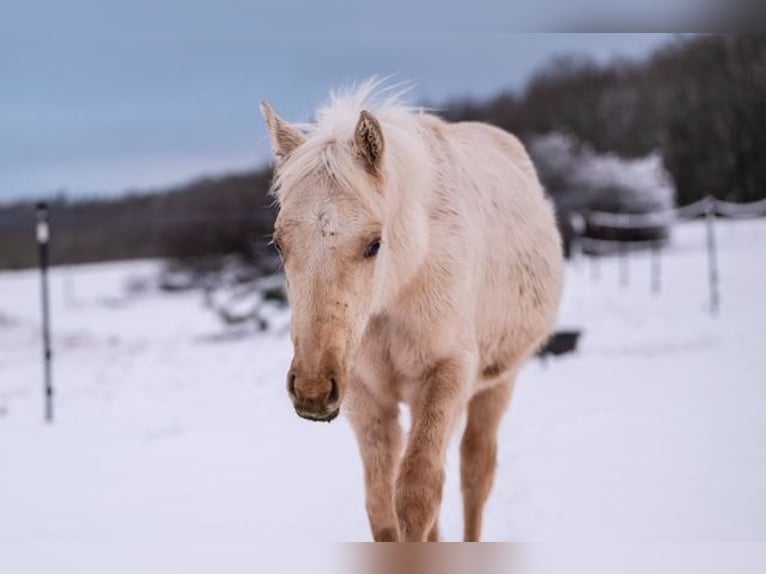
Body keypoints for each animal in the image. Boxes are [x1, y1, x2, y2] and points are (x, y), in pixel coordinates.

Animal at [260, 82, 568, 544]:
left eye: (374, 243)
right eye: (280, 244)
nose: (312, 389)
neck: (402, 287)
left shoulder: (448, 375)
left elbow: (418, 496)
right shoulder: (364, 394)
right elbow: (382, 508)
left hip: (497, 383)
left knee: (475, 473)